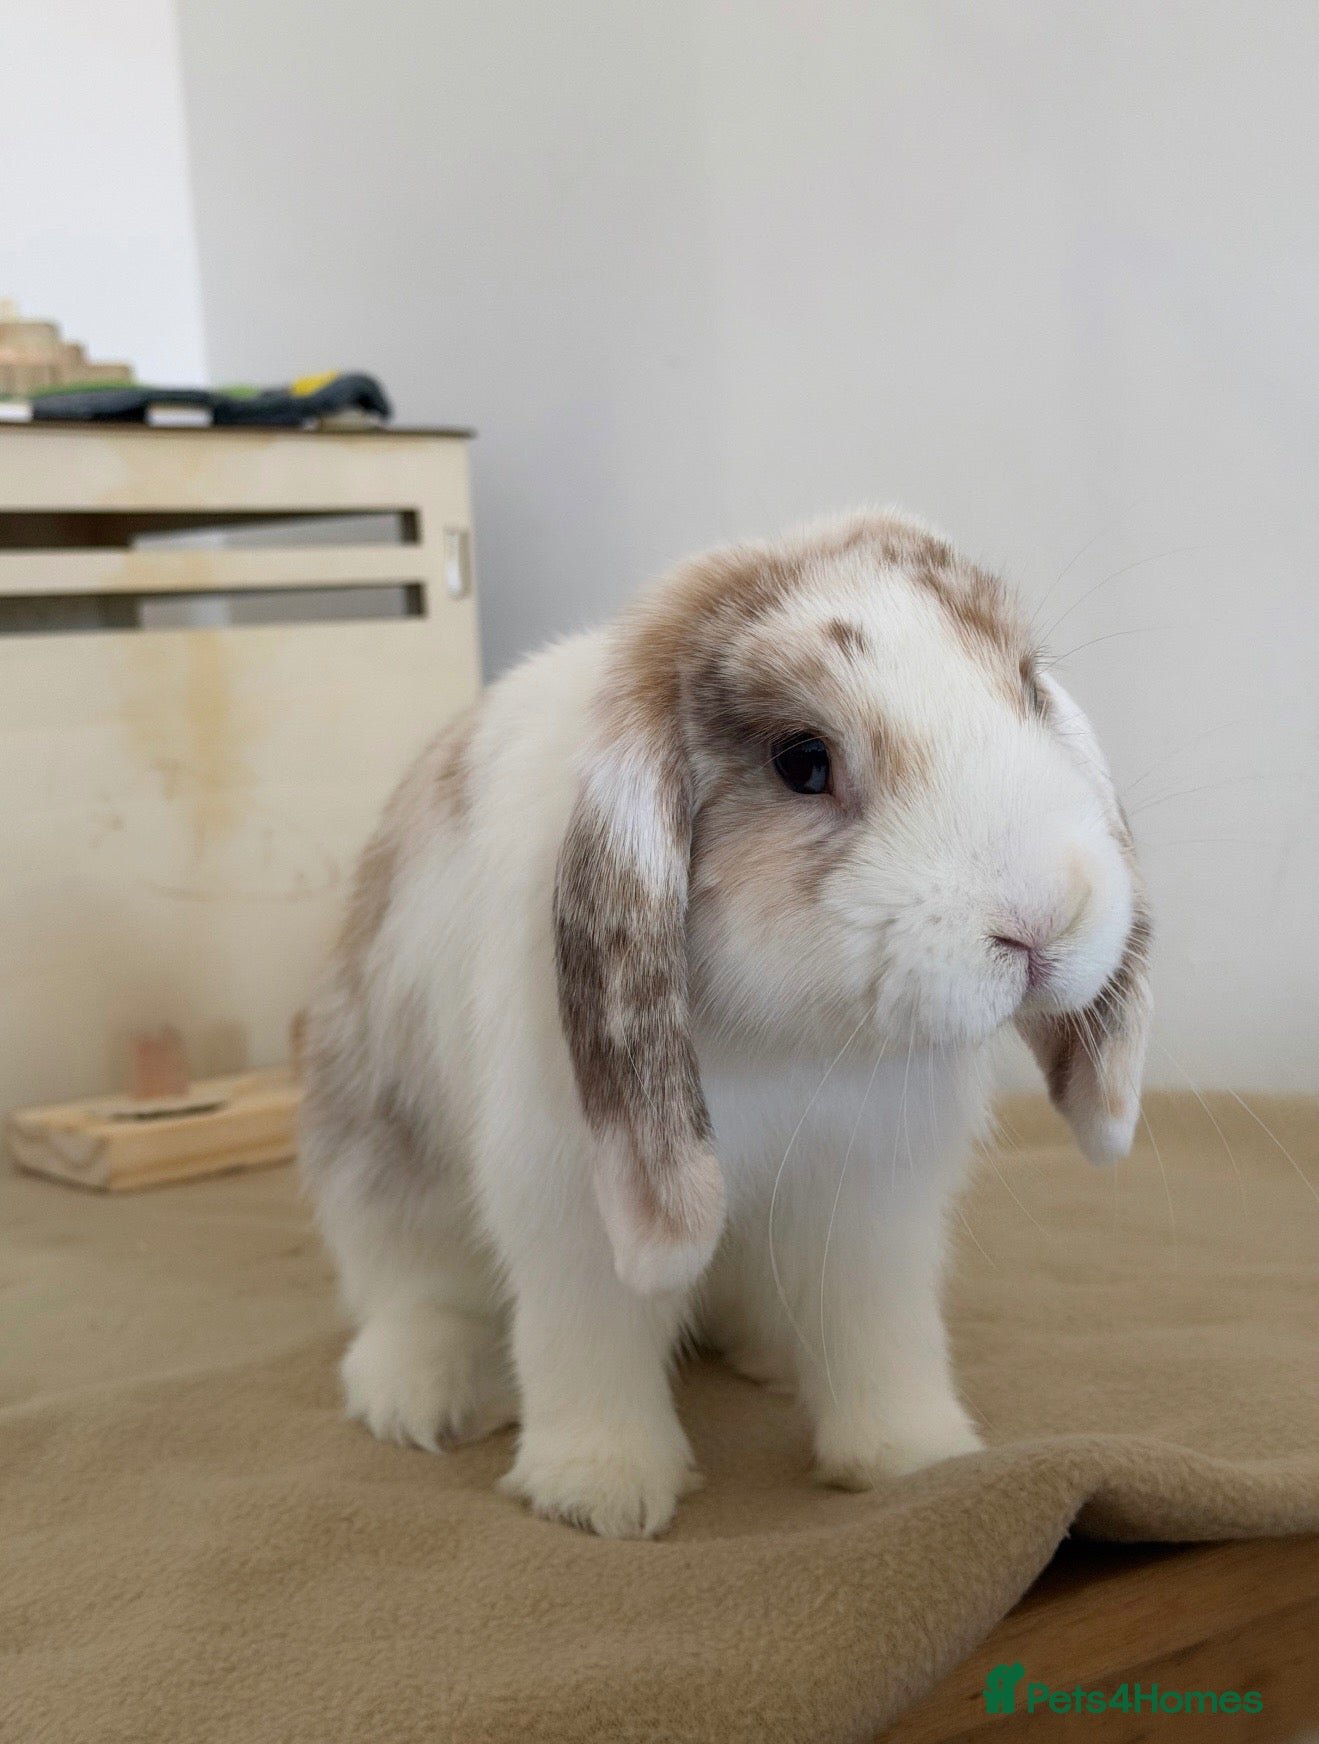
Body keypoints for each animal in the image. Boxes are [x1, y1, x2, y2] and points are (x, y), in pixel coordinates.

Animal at [300, 510, 1151, 1538]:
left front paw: (912, 1458)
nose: (1042, 921)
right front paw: (600, 1492)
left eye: (1027, 687)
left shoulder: (872, 1201)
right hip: (385, 1171)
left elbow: (879, 1332)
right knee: (410, 1290)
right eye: (801, 761)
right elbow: (587, 1337)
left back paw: (772, 1356)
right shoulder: (571, 1200)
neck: (794, 1039)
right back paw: (421, 1394)